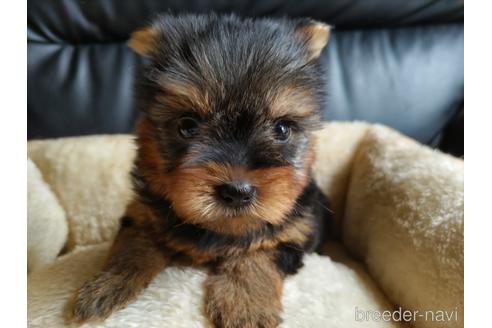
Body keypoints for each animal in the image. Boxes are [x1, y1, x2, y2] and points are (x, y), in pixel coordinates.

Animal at [71, 13, 332, 328]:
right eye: (187, 126)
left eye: (281, 129)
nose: (237, 192)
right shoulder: (143, 214)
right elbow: (133, 244)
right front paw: (106, 286)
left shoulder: (295, 231)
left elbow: (259, 254)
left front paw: (246, 306)